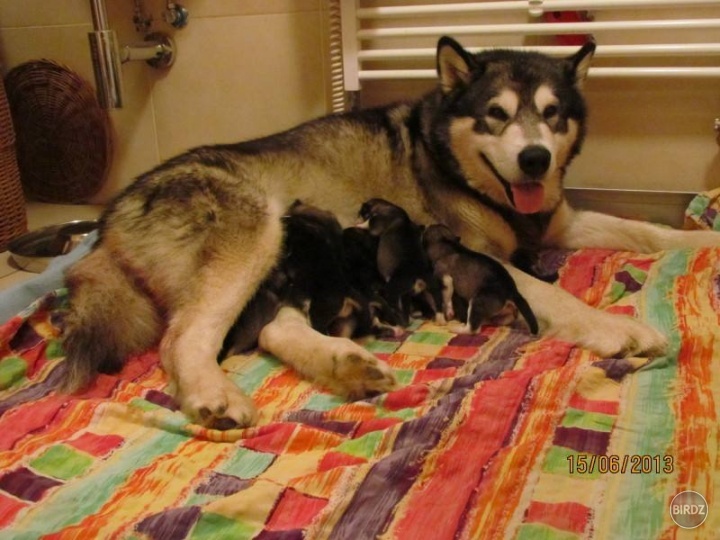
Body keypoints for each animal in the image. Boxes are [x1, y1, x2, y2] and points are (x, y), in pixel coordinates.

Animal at [63, 35, 720, 428]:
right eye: (496, 115)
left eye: (553, 114)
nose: (534, 159)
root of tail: (110, 220)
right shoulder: (473, 250)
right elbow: (549, 293)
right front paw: (616, 328)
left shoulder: (561, 219)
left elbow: (643, 230)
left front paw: (701, 240)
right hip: (253, 235)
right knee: (183, 338)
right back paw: (214, 395)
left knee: (274, 327)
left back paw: (343, 366)